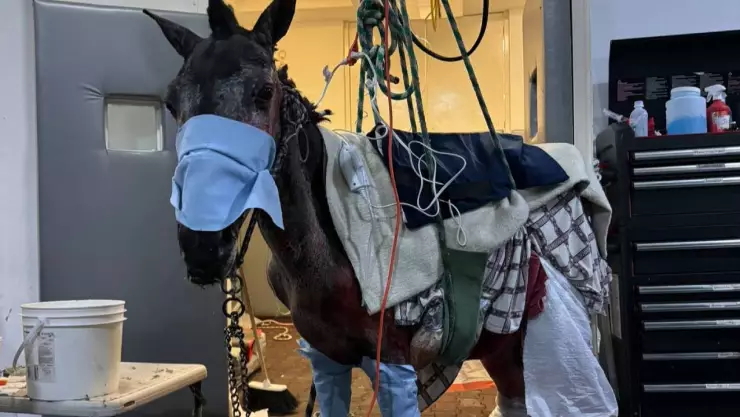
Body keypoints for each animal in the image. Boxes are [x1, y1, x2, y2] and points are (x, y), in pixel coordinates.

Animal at [144, 0, 615, 415]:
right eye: (171, 102)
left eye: (264, 92)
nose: (204, 246)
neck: (322, 249)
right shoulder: (325, 359)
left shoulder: (392, 365)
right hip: (502, 345)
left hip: (551, 334)